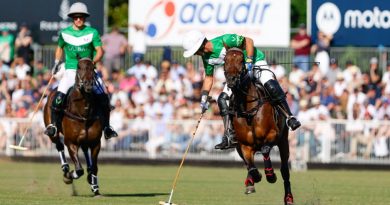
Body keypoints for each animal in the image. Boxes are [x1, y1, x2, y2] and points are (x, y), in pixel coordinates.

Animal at [43, 57, 103, 195]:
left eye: (93, 67)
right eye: (79, 67)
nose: (88, 84)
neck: (84, 111)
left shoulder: (95, 142)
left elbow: (95, 167)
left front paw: (95, 186)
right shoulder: (70, 142)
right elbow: (79, 169)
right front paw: (69, 176)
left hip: (86, 139)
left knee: (85, 151)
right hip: (52, 132)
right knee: (58, 144)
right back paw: (65, 168)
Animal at [222, 47, 292, 204]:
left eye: (241, 60)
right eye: (225, 60)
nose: (231, 80)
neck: (249, 111)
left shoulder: (273, 134)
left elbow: (265, 149)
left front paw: (270, 175)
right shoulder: (244, 145)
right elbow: (251, 166)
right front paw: (255, 178)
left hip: (284, 141)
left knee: (285, 170)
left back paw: (289, 198)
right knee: (248, 164)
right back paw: (250, 182)